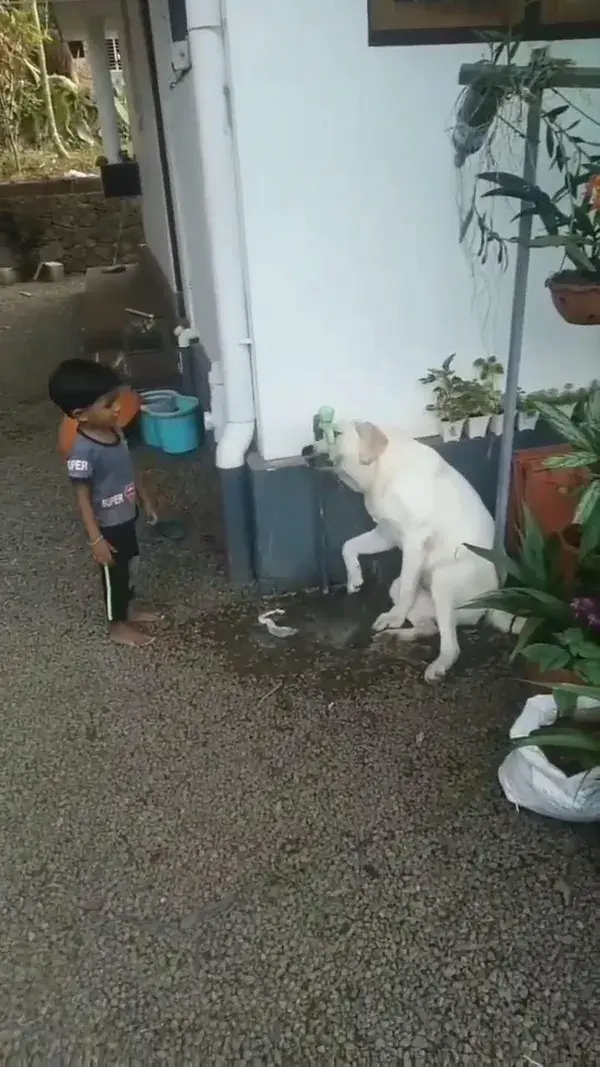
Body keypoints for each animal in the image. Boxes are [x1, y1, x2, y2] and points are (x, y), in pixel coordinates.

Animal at [309, 418, 512, 682]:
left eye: (336, 433)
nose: (304, 450)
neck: (382, 470)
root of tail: (492, 603)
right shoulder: (386, 533)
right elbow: (348, 546)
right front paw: (354, 578)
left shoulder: (414, 540)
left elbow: (407, 586)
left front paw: (395, 617)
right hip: (405, 591)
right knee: (430, 628)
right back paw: (395, 634)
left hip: (442, 580)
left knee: (451, 645)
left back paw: (438, 665)